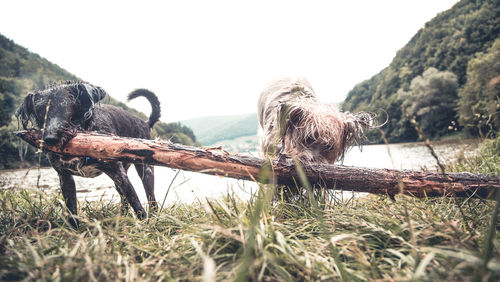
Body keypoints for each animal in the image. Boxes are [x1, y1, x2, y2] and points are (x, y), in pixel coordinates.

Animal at [15, 81, 161, 225]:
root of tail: (145, 123)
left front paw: (145, 225)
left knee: (151, 199)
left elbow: (135, 201)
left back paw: (154, 217)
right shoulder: (65, 178)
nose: (51, 139)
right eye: (40, 111)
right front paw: (74, 230)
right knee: (124, 198)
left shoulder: (119, 174)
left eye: (68, 107)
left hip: (145, 171)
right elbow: (71, 211)